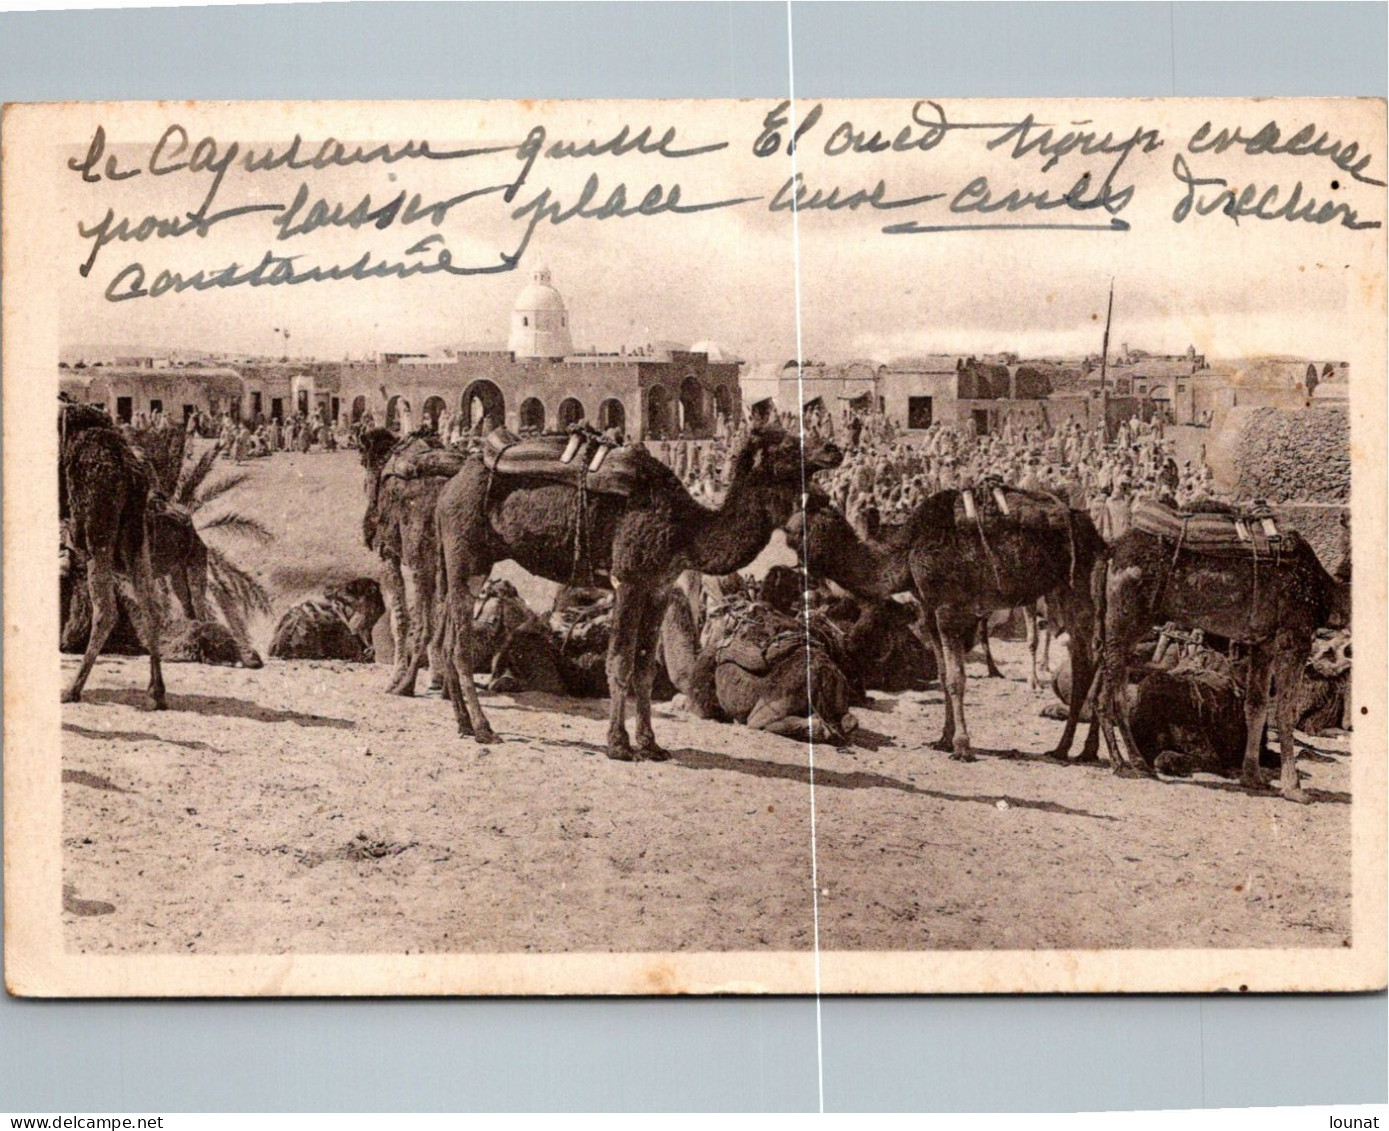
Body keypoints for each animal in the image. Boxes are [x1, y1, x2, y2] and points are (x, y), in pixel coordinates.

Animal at [59, 400, 166, 708]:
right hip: (135, 531)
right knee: (150, 603)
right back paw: (156, 692)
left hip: (96, 525)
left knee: (106, 610)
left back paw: (72, 690)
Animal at [438, 425, 838, 761]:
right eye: (788, 444)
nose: (833, 450)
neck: (685, 529)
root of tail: (453, 484)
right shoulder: (628, 581)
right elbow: (619, 663)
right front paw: (618, 745)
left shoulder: (658, 587)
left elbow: (644, 668)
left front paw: (651, 744)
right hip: (465, 554)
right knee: (460, 647)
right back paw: (484, 729)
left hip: (468, 562)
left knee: (447, 640)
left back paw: (462, 724)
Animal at [788, 486, 1100, 761]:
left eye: (801, 527)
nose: (788, 536)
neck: (906, 552)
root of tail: (1090, 527)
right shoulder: (929, 610)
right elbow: (941, 674)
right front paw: (943, 739)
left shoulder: (948, 610)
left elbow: (955, 678)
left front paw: (962, 746)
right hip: (1062, 590)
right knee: (1087, 659)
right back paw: (1075, 749)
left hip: (1077, 585)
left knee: (1090, 659)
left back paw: (1074, 748)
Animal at [1094, 525, 1344, 805]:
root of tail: (1111, 552)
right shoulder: (1294, 637)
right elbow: (1285, 711)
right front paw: (1294, 789)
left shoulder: (1262, 643)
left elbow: (1256, 707)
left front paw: (1253, 778)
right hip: (1125, 621)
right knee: (1105, 696)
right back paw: (1120, 765)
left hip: (1128, 628)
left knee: (1118, 691)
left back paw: (1139, 764)